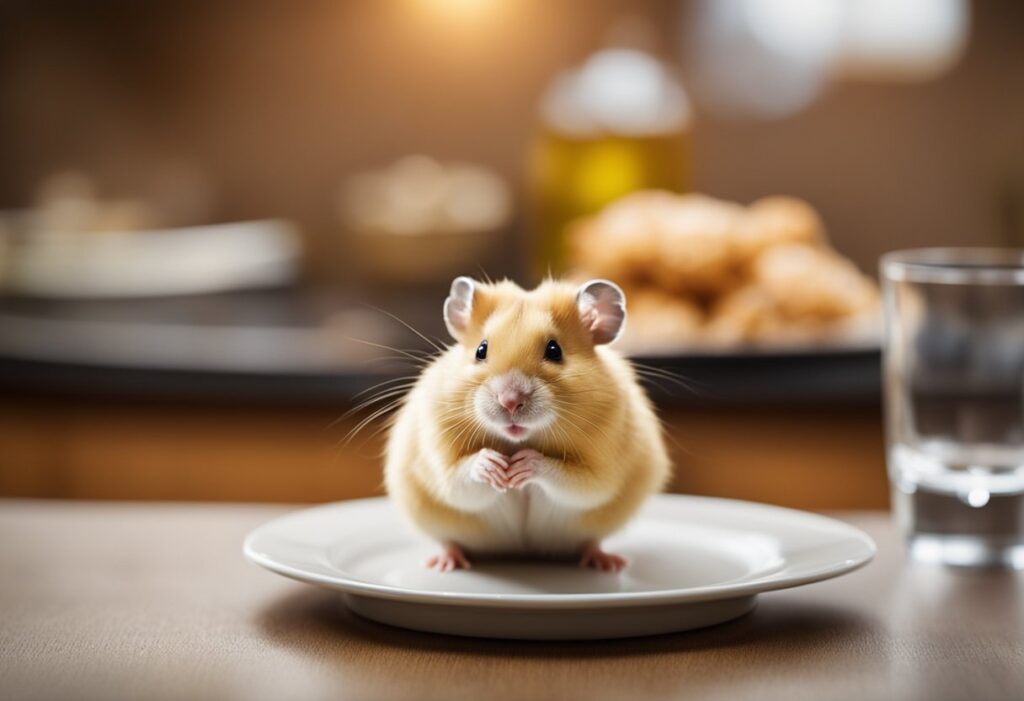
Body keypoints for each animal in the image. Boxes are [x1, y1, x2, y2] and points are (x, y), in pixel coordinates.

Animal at [384, 277, 671, 572]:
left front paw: (522, 465)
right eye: (481, 350)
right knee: (450, 539)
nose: (510, 401)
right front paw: (495, 466)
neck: (518, 440)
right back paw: (443, 563)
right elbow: (459, 480)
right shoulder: (441, 462)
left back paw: (607, 563)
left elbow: (576, 482)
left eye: (554, 350)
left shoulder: (602, 470)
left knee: (591, 541)